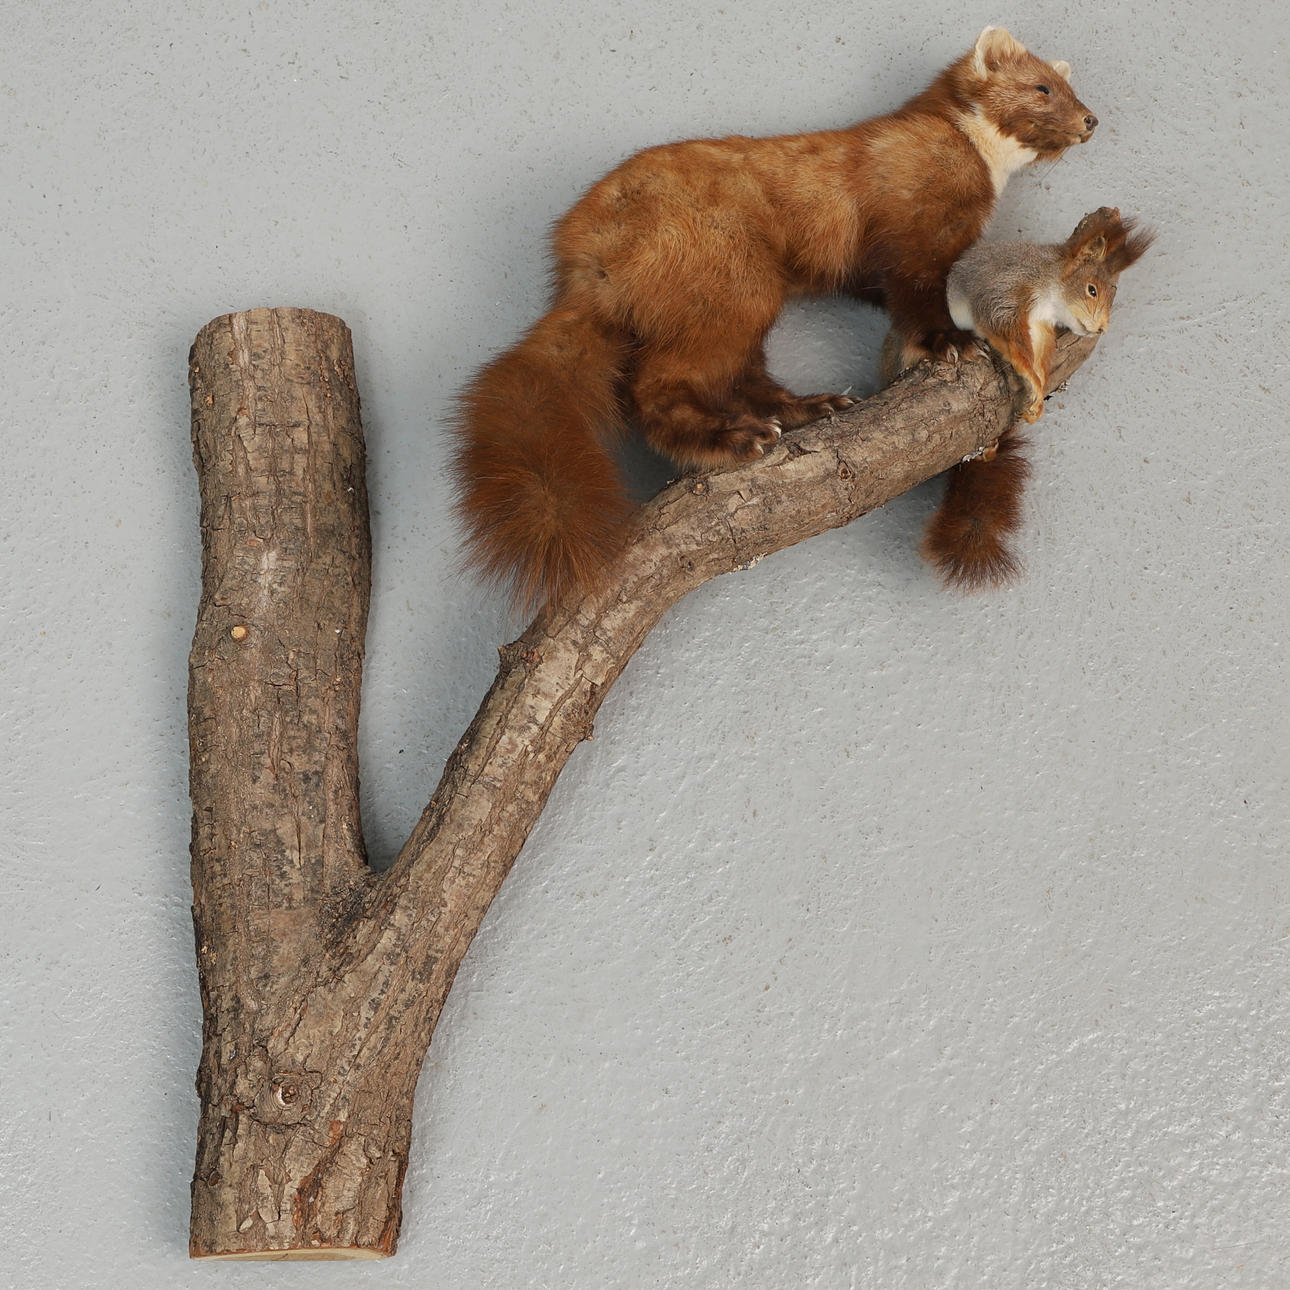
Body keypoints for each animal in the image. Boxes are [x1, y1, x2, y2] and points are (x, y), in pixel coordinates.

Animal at [450, 27, 1097, 609]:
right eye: (1043, 87)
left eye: (1072, 86)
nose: (1091, 120)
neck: (976, 167)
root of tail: (587, 250)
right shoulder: (918, 230)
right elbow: (915, 293)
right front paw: (947, 343)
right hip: (733, 283)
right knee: (660, 388)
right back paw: (737, 439)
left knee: (743, 379)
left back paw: (813, 407)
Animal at [920, 206, 1154, 589]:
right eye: (1091, 290)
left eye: (1109, 292)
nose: (1102, 328)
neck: (1050, 285)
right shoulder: (1008, 291)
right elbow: (1008, 336)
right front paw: (1029, 380)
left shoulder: (1042, 328)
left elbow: (1041, 355)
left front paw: (1040, 389)